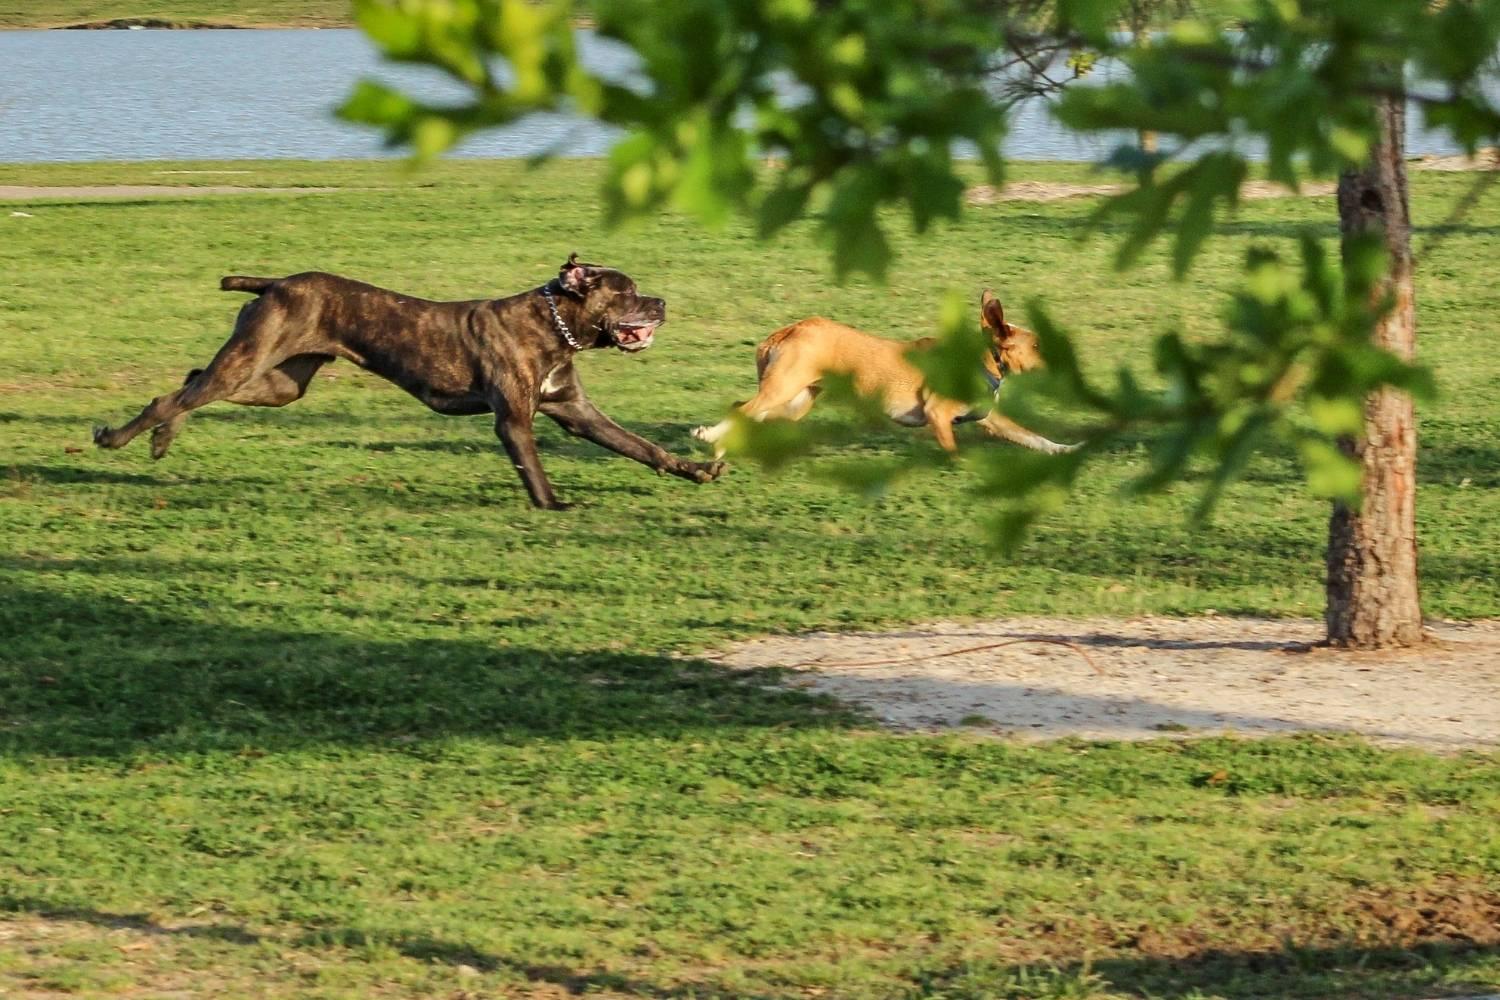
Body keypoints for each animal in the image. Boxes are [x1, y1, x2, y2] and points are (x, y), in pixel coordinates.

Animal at [93, 256, 726, 509]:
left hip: (276, 384)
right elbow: (534, 468)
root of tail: (274, 283)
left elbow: (641, 447)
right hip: (248, 365)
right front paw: (554, 505)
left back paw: (161, 440)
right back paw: (120, 438)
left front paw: (696, 469)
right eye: (626, 292)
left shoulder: (575, 411)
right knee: (174, 395)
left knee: (188, 382)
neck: (554, 323)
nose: (662, 302)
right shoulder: (513, 422)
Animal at [696, 289, 1074, 458]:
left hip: (794, 403)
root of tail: (788, 330)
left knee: (744, 411)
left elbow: (1032, 436)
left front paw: (1066, 449)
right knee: (743, 410)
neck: (983, 358)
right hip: (782, 390)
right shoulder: (938, 414)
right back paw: (712, 439)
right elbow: (954, 450)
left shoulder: (989, 418)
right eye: (1038, 345)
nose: (1064, 361)